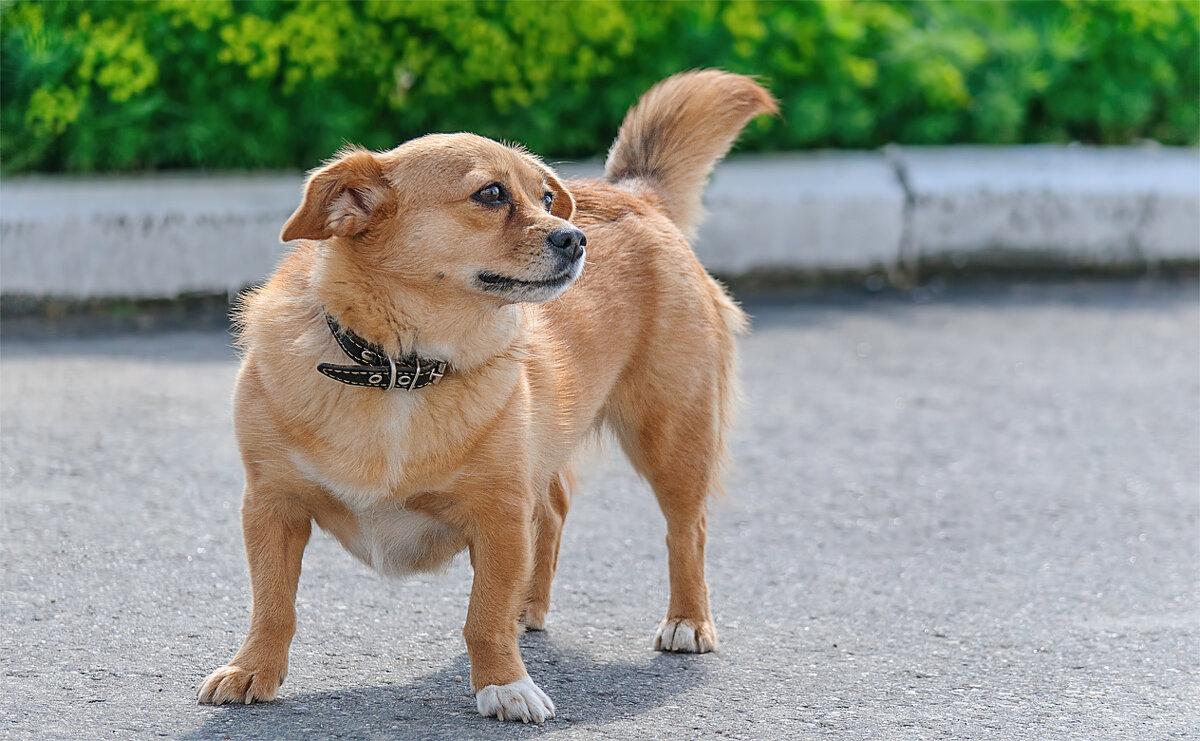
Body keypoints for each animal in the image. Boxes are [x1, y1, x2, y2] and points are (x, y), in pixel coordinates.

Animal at [196, 70, 777, 719]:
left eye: (545, 199)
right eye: (492, 194)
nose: (576, 238)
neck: (403, 368)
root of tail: (632, 193)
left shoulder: (498, 513)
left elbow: (482, 616)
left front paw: (505, 683)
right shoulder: (271, 506)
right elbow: (273, 604)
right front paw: (253, 669)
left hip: (672, 437)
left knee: (686, 531)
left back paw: (687, 621)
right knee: (554, 510)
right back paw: (530, 605)